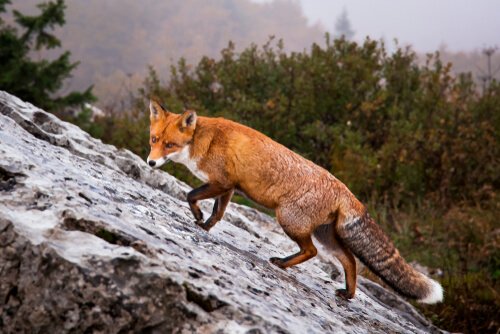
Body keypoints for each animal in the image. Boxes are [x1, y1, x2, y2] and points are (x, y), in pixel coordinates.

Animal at [146, 98, 444, 304]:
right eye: (154, 139)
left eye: (170, 145)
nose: (150, 163)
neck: (204, 140)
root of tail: (346, 191)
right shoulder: (227, 187)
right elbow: (217, 214)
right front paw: (204, 227)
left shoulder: (222, 183)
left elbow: (191, 195)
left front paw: (197, 217)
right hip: (327, 236)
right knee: (350, 261)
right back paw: (348, 294)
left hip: (289, 221)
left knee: (311, 252)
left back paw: (281, 263)